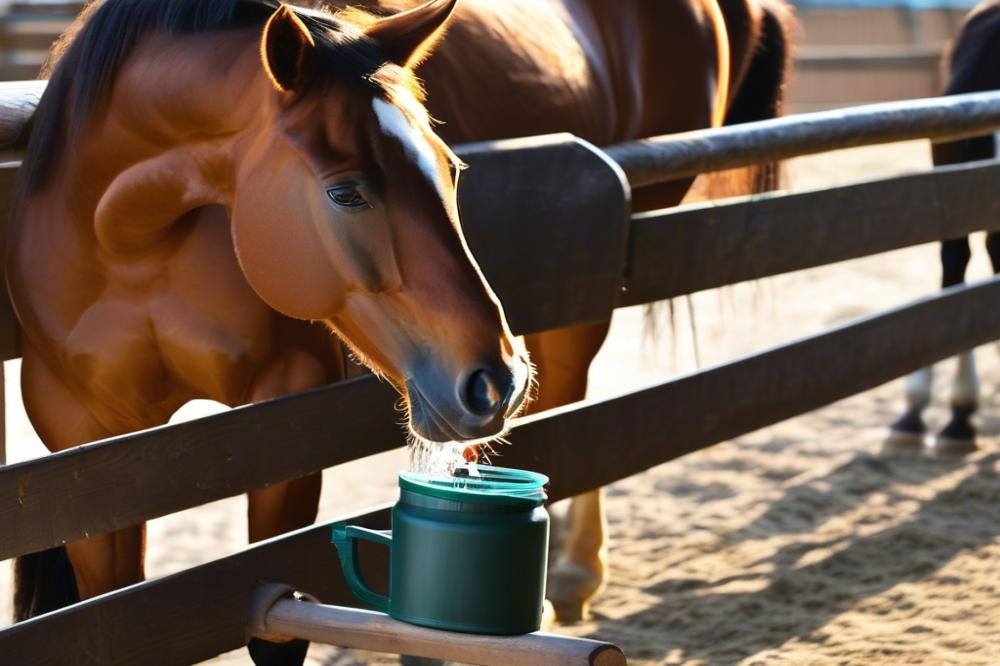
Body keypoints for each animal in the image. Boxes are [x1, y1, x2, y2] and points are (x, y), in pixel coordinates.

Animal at [7, 0, 788, 660]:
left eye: (451, 168)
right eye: (345, 191)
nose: (495, 381)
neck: (130, 243)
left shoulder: (279, 419)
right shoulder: (89, 446)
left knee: (574, 398)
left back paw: (570, 572)